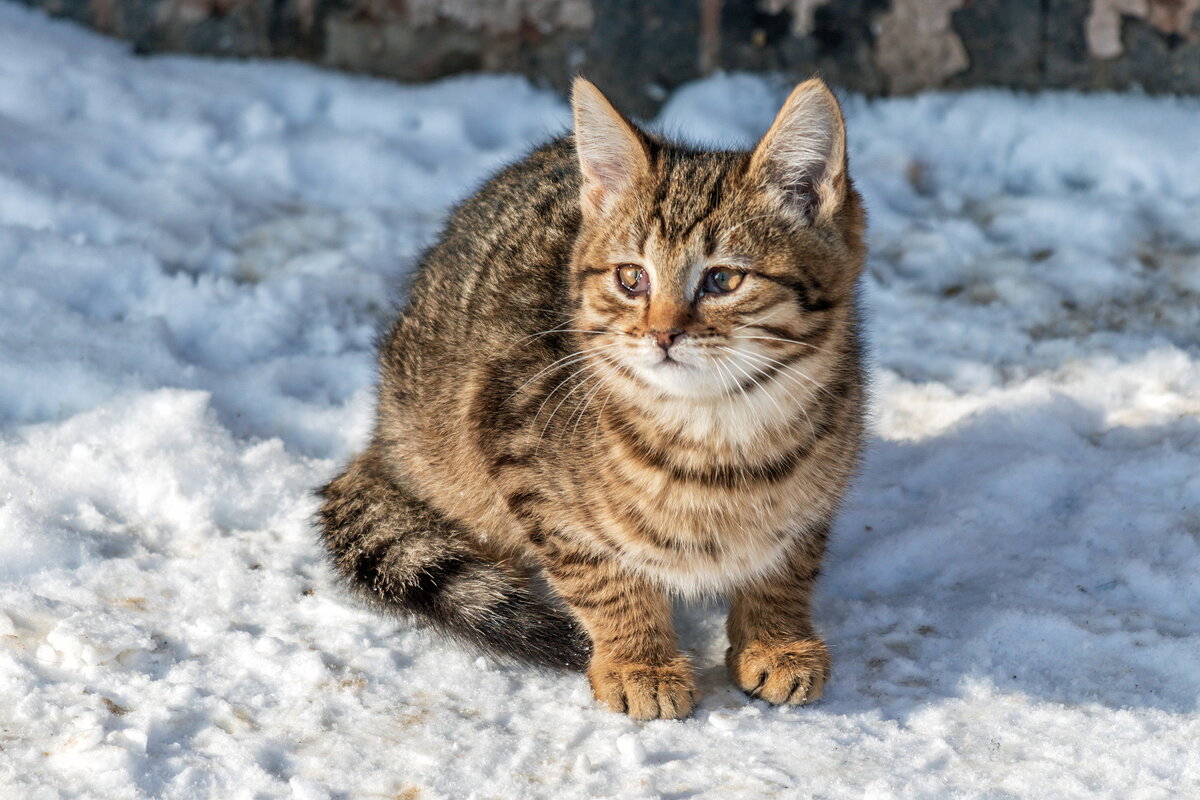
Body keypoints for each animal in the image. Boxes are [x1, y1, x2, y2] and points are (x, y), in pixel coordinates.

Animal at [319, 77, 864, 724]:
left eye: (724, 280)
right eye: (632, 278)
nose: (662, 334)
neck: (716, 434)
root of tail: (382, 427)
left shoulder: (826, 481)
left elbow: (791, 560)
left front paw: (778, 639)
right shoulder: (515, 443)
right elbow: (597, 572)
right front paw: (640, 660)